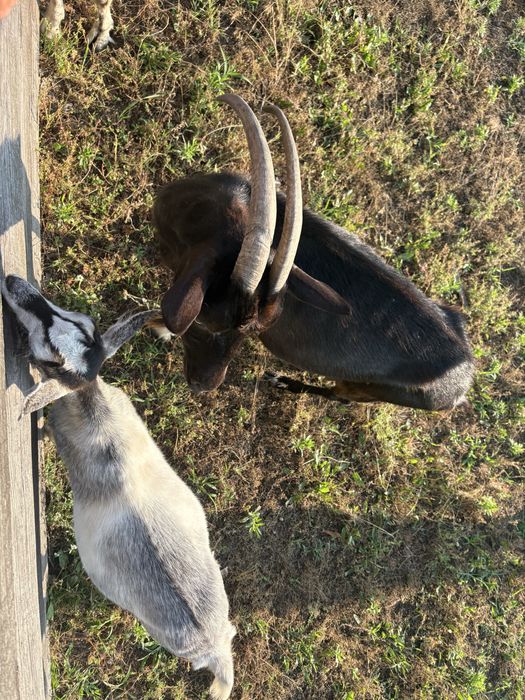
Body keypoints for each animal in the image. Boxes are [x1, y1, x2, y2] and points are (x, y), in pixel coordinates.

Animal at [153, 93, 473, 411]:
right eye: (205, 322)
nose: (203, 386)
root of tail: (463, 379)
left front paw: (160, 328)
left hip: (366, 389)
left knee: (339, 395)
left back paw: (282, 381)